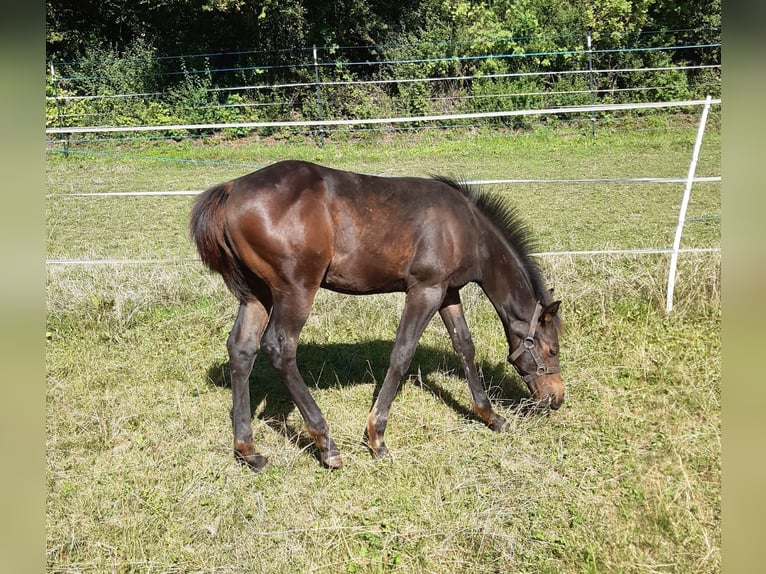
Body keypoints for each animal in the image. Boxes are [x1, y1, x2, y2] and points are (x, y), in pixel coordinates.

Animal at [192, 159, 564, 472]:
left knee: (241, 348)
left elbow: (465, 347)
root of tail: (231, 189)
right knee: (279, 348)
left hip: (258, 294)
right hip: (295, 290)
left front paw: (490, 416)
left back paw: (248, 450)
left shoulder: (448, 292)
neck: (468, 228)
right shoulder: (425, 290)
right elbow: (402, 354)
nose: (556, 398)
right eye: (552, 350)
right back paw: (327, 445)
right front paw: (376, 437)